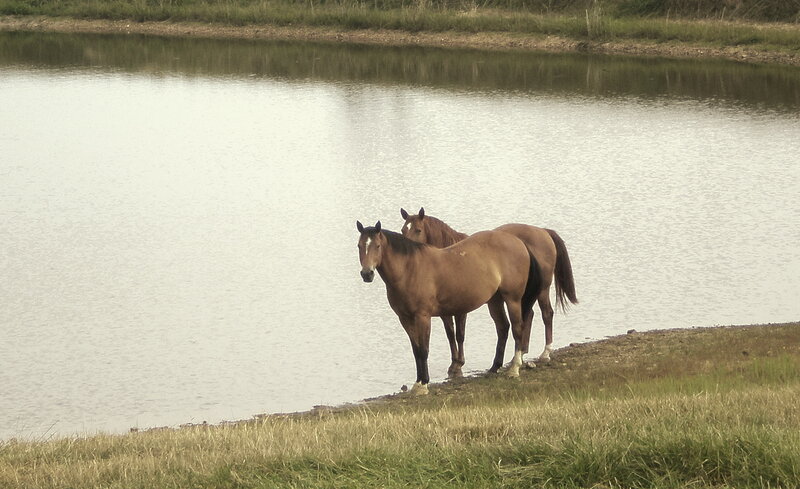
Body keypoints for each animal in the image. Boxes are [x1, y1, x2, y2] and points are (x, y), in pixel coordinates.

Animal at [356, 220, 541, 395]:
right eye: (359, 246)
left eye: (377, 246)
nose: (367, 274)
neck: (409, 270)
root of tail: (518, 242)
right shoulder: (405, 319)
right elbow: (416, 350)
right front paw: (417, 383)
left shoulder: (423, 317)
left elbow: (424, 350)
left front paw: (424, 384)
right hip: (494, 301)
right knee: (503, 328)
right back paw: (494, 367)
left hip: (512, 299)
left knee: (517, 328)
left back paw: (514, 369)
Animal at [400, 207, 578, 370]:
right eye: (403, 230)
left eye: (418, 230)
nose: (407, 251)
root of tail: (543, 232)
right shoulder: (445, 310)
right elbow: (450, 333)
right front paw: (454, 361)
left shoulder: (461, 308)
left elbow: (460, 334)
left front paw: (459, 362)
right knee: (528, 315)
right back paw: (521, 352)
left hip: (542, 289)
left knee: (547, 314)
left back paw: (545, 353)